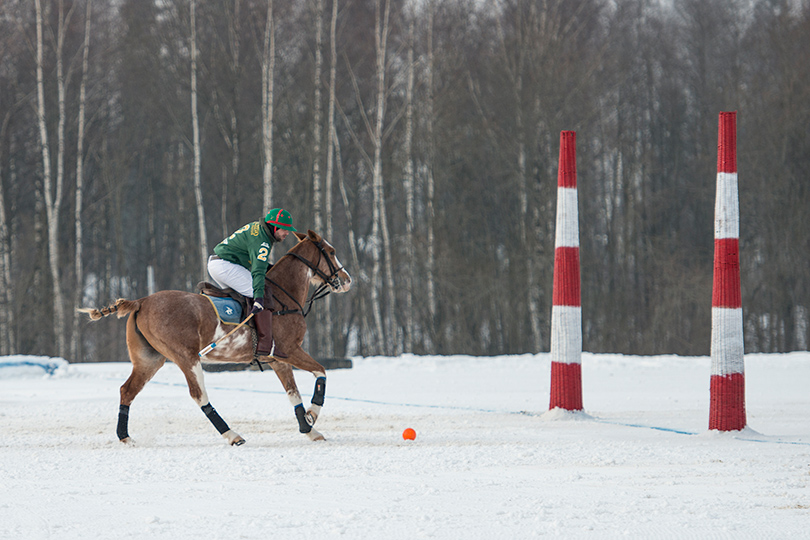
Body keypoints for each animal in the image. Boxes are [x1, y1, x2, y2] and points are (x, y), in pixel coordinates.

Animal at [78, 230, 350, 446]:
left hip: (149, 359)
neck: (284, 296)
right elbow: (321, 371)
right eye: (331, 251)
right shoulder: (290, 350)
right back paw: (232, 435)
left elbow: (294, 394)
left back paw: (125, 437)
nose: (347, 281)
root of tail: (141, 301)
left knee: (127, 390)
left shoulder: (277, 359)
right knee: (199, 395)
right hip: (186, 357)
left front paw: (309, 429)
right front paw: (312, 415)